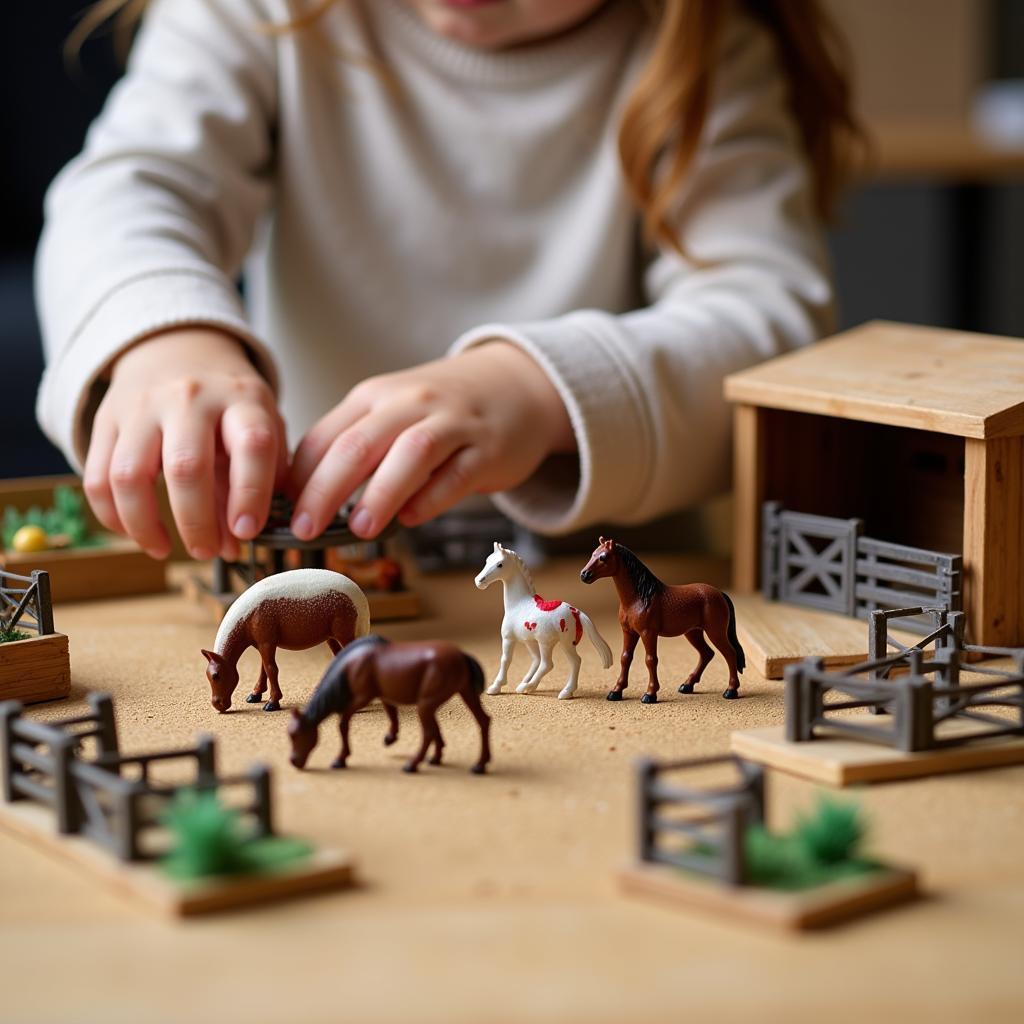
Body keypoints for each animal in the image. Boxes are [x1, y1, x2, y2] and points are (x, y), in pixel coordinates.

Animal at [198, 569, 368, 712]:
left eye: (216, 676)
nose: (218, 705)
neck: (250, 614)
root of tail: (357, 594)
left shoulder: (267, 644)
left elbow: (271, 669)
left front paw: (272, 702)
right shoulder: (261, 645)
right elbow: (264, 669)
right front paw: (256, 694)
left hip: (344, 635)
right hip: (330, 637)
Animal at [288, 634, 491, 770]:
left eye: (295, 735)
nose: (294, 762)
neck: (354, 664)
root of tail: (462, 656)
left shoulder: (362, 698)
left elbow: (343, 723)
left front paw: (340, 759)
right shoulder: (384, 696)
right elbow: (392, 713)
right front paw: (391, 738)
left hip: (426, 705)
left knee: (428, 732)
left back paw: (412, 765)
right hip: (464, 694)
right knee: (482, 720)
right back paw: (478, 764)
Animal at [475, 540, 610, 700]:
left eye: (500, 564)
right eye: (487, 560)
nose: (479, 581)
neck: (518, 604)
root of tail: (576, 611)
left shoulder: (508, 639)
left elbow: (506, 660)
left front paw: (496, 687)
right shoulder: (529, 641)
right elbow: (535, 660)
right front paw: (523, 683)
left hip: (549, 643)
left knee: (551, 664)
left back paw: (546, 690)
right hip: (563, 643)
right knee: (571, 661)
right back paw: (558, 690)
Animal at [585, 536, 745, 704]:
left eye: (603, 557)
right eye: (593, 554)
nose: (584, 574)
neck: (639, 598)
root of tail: (719, 593)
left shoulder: (648, 633)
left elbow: (650, 660)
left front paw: (650, 694)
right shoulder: (629, 632)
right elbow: (625, 658)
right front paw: (616, 691)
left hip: (715, 632)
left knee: (730, 653)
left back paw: (731, 690)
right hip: (693, 632)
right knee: (707, 653)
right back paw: (687, 685)